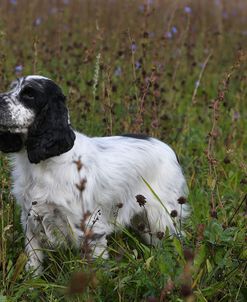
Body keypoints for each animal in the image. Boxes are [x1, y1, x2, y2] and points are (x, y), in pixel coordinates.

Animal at [0, 75, 188, 274]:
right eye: (12, 88)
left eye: (29, 94)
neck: (46, 162)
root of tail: (169, 150)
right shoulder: (30, 220)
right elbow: (34, 262)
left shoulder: (90, 226)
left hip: (162, 216)